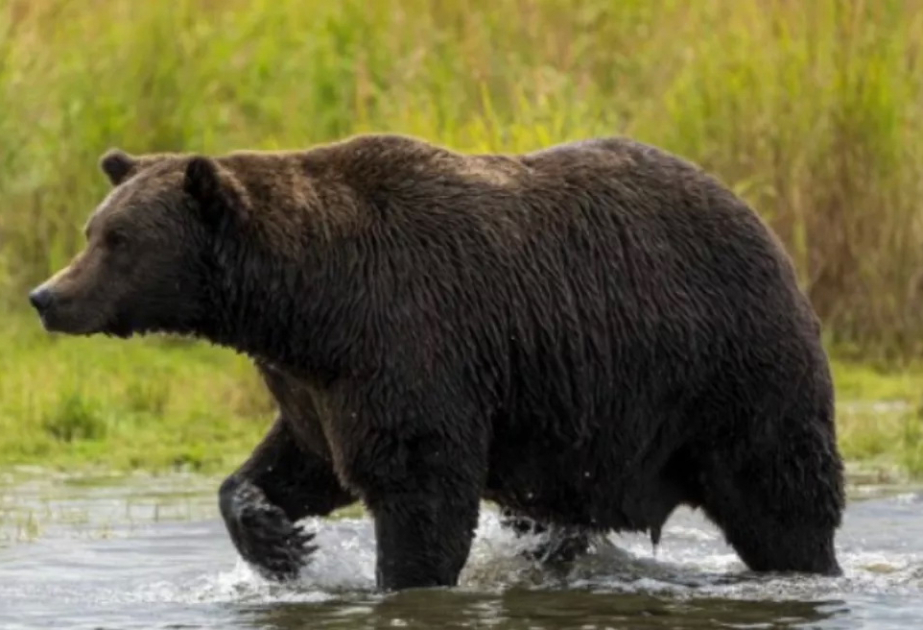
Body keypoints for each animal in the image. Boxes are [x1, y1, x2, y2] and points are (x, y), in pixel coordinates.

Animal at [28, 133, 846, 591]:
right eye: (94, 228)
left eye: (120, 240)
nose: (47, 295)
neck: (305, 302)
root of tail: (763, 226)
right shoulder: (317, 382)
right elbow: (298, 465)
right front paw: (281, 543)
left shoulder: (409, 341)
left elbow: (418, 488)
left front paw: (400, 580)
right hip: (579, 427)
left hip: (729, 371)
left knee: (782, 495)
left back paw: (808, 567)